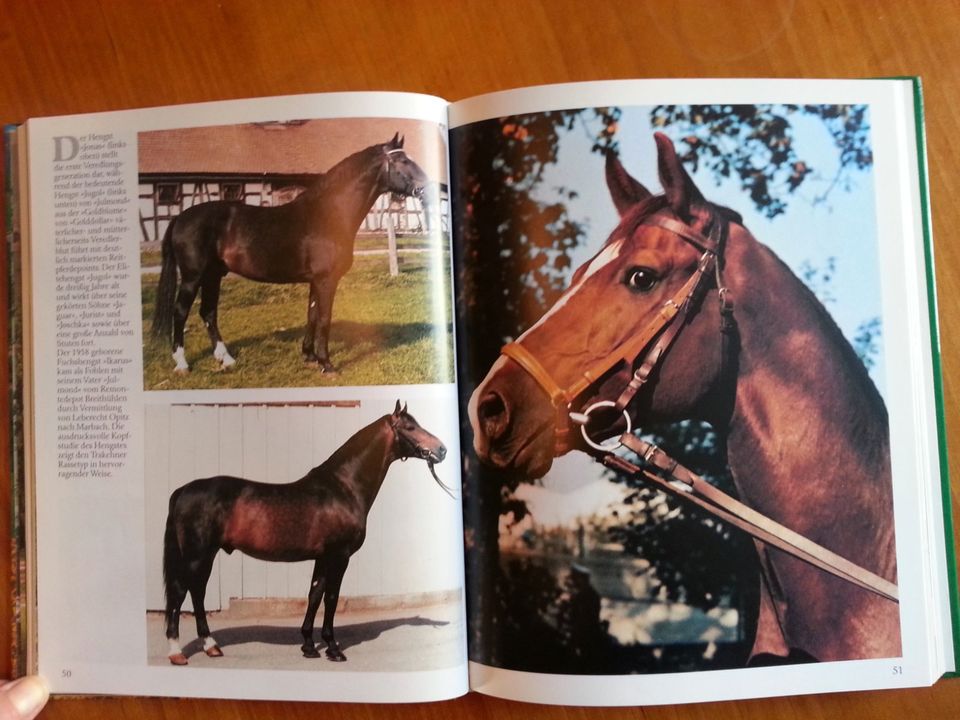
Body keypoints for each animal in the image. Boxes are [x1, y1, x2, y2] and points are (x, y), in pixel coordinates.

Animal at [152, 131, 434, 374]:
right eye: (403, 160)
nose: (428, 189)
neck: (328, 215)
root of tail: (180, 217)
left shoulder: (315, 281)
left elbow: (311, 315)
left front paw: (309, 355)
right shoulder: (326, 280)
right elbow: (324, 317)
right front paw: (326, 364)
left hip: (213, 275)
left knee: (208, 312)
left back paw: (226, 359)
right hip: (193, 277)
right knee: (181, 312)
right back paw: (182, 364)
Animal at [163, 400, 452, 664]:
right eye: (410, 427)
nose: (442, 449)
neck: (343, 487)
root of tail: (182, 490)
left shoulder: (322, 557)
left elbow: (314, 595)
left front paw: (309, 646)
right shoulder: (339, 556)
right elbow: (332, 598)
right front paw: (333, 649)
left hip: (206, 555)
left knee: (197, 593)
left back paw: (211, 646)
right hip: (197, 556)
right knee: (180, 593)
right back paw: (177, 653)